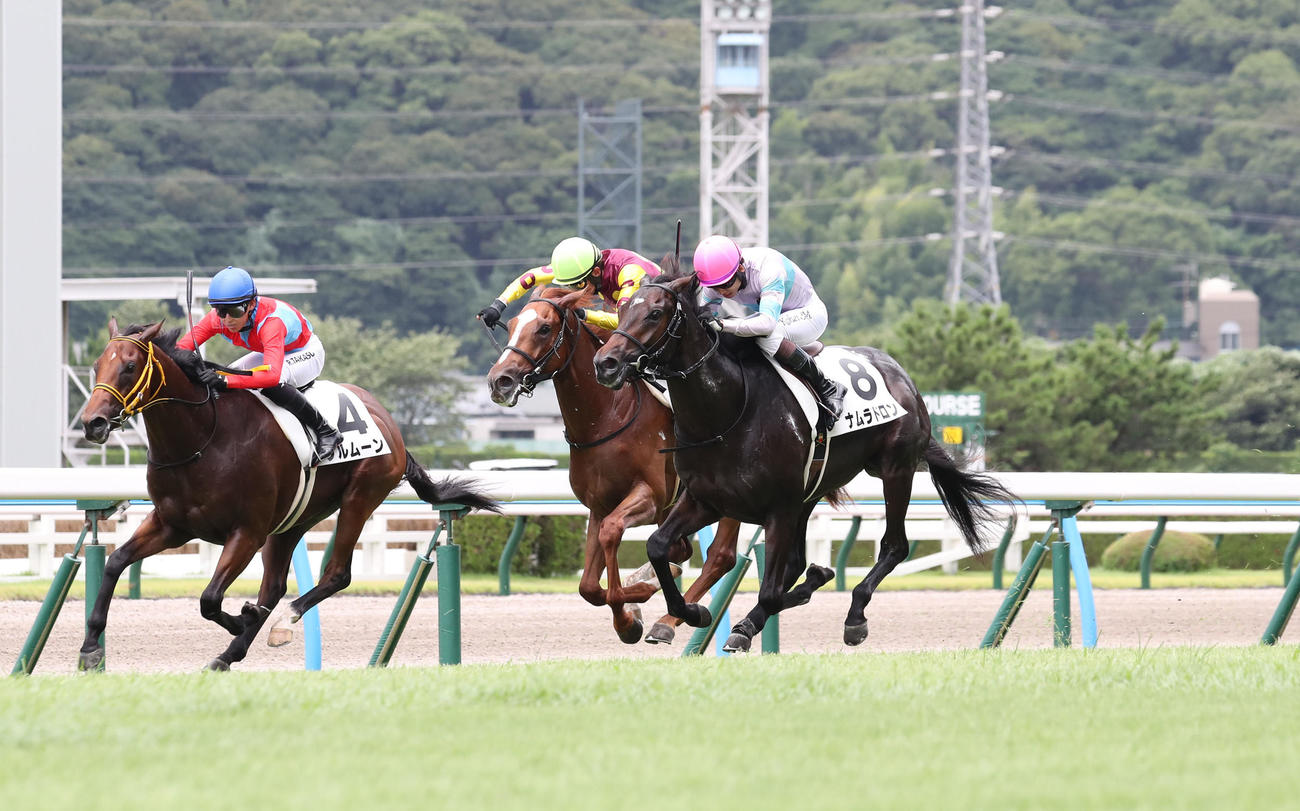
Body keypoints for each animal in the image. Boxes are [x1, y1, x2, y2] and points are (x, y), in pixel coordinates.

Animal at [78, 318, 499, 671]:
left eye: (129, 366)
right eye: (97, 365)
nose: (92, 422)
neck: (203, 438)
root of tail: (390, 425)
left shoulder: (246, 532)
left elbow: (210, 598)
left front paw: (240, 619)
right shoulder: (172, 524)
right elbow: (115, 562)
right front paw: (90, 647)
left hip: (360, 497)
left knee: (336, 574)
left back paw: (281, 621)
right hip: (294, 519)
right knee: (275, 585)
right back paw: (232, 652)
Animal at [486, 285, 742, 645]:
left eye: (544, 329)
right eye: (510, 327)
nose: (500, 381)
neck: (604, 418)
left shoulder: (650, 497)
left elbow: (612, 537)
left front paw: (635, 607)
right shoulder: (598, 505)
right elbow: (589, 586)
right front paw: (633, 609)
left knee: (720, 557)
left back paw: (670, 618)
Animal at [592, 259, 1019, 652]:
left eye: (655, 313)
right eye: (621, 310)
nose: (605, 363)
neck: (727, 411)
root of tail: (901, 376)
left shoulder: (778, 508)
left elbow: (769, 591)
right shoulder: (706, 500)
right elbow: (657, 546)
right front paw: (693, 613)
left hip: (895, 470)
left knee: (894, 545)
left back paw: (853, 615)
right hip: (812, 492)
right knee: (799, 561)